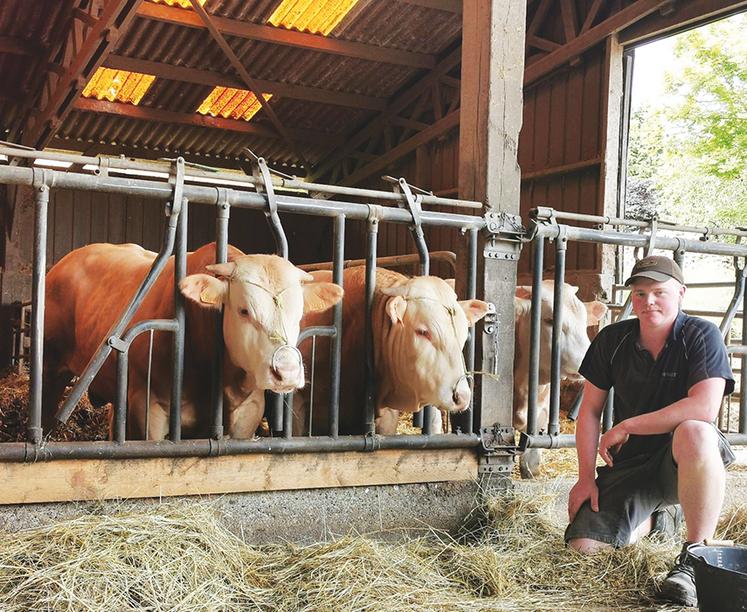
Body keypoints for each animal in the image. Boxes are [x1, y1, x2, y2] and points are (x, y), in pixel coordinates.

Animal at [41, 240, 344, 440]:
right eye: (244, 310)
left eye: (300, 312)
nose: (288, 371)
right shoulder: (149, 407)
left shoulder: (249, 411)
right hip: (50, 365)